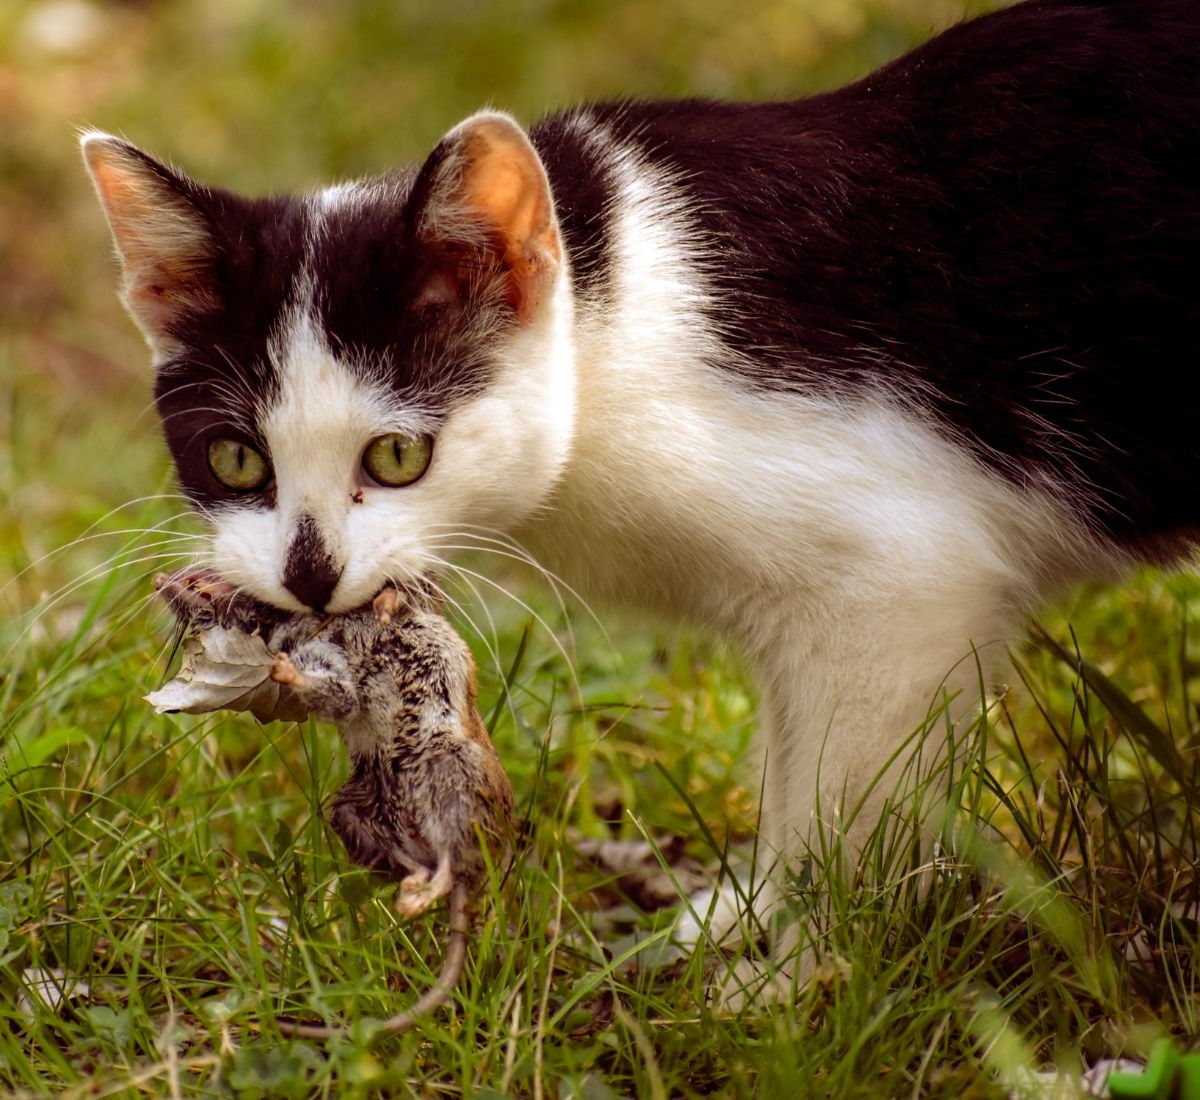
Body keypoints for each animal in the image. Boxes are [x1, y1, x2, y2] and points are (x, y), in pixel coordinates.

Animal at [84, 0, 1200, 911]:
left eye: (398, 454)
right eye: (237, 461)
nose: (310, 577)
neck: (613, 323)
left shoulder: (903, 589)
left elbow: (842, 808)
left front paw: (794, 981)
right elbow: (795, 769)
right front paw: (737, 930)